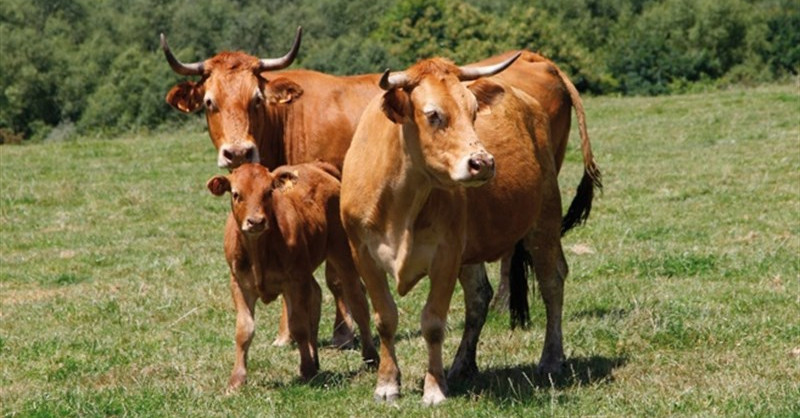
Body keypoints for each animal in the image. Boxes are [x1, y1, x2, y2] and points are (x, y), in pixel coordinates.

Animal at [206, 161, 379, 390]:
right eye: (236, 194)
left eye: (268, 192)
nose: (256, 221)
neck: (259, 252)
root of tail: (316, 166)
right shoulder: (239, 285)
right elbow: (244, 330)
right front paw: (237, 379)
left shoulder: (294, 282)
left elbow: (298, 325)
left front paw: (306, 370)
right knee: (316, 295)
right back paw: (316, 359)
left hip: (342, 254)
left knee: (357, 301)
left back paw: (371, 357)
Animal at [340, 53, 583, 404]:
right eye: (433, 115)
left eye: (473, 111)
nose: (483, 163)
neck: (400, 201)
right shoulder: (362, 254)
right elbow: (385, 318)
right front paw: (387, 384)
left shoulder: (446, 254)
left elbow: (433, 322)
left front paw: (433, 387)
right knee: (479, 297)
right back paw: (462, 365)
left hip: (545, 220)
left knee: (552, 282)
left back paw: (551, 358)